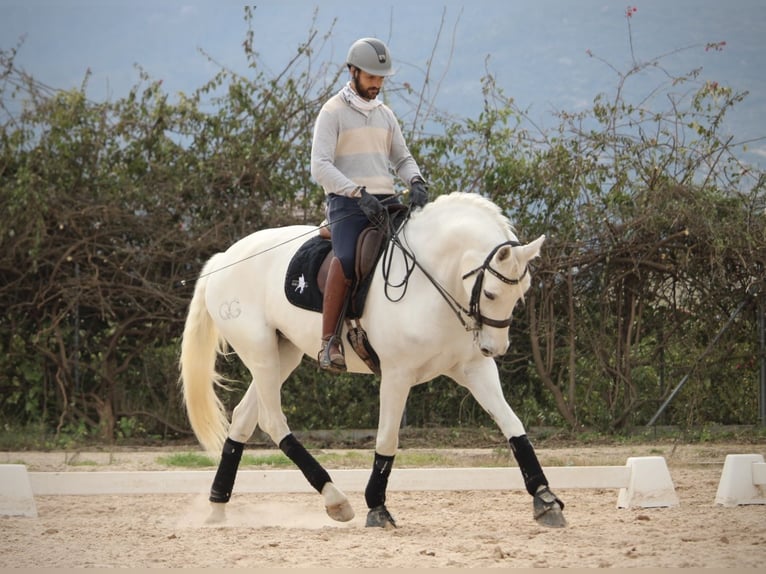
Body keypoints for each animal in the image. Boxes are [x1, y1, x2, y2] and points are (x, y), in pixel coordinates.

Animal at [179, 191, 566, 528]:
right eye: (491, 293)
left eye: (522, 292)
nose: (494, 348)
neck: (433, 279)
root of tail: (223, 259)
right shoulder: (397, 374)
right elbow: (387, 439)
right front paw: (377, 508)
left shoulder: (473, 368)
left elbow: (513, 426)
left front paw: (545, 499)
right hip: (259, 352)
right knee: (273, 421)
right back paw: (336, 500)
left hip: (282, 354)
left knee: (243, 419)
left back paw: (217, 507)